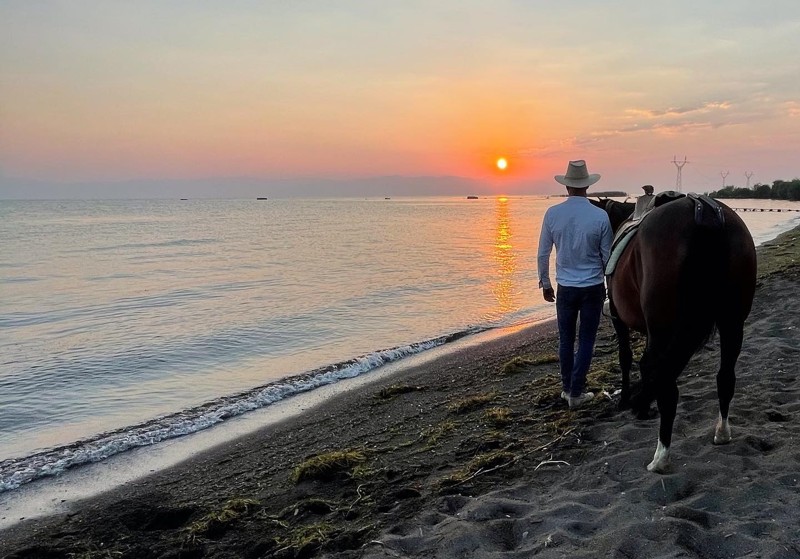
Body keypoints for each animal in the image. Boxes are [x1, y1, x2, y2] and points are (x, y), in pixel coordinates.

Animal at [592, 197, 756, 472]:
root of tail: (705, 213)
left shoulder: (618, 316)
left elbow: (626, 358)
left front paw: (628, 400)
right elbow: (646, 365)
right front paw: (642, 403)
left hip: (665, 328)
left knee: (668, 391)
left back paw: (660, 457)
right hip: (732, 324)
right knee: (725, 378)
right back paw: (722, 433)